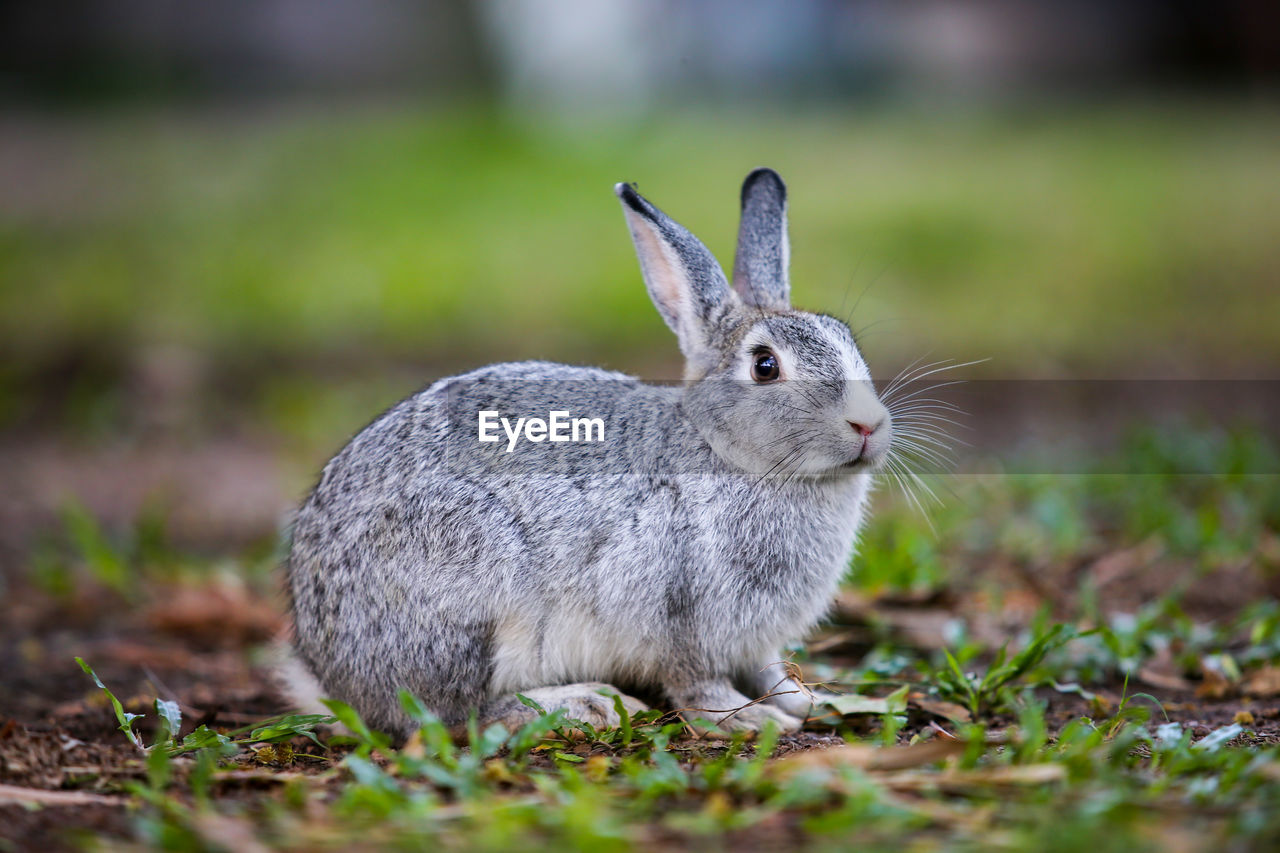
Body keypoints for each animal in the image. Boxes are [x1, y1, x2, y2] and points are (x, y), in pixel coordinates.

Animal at [284, 167, 890, 737]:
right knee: (453, 713)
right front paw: (749, 720)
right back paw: (585, 703)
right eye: (765, 366)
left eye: (847, 340)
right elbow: (697, 684)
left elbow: (770, 671)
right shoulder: (678, 618)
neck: (728, 451)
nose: (869, 424)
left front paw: (806, 701)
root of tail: (331, 670)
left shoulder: (756, 642)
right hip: (473, 600)